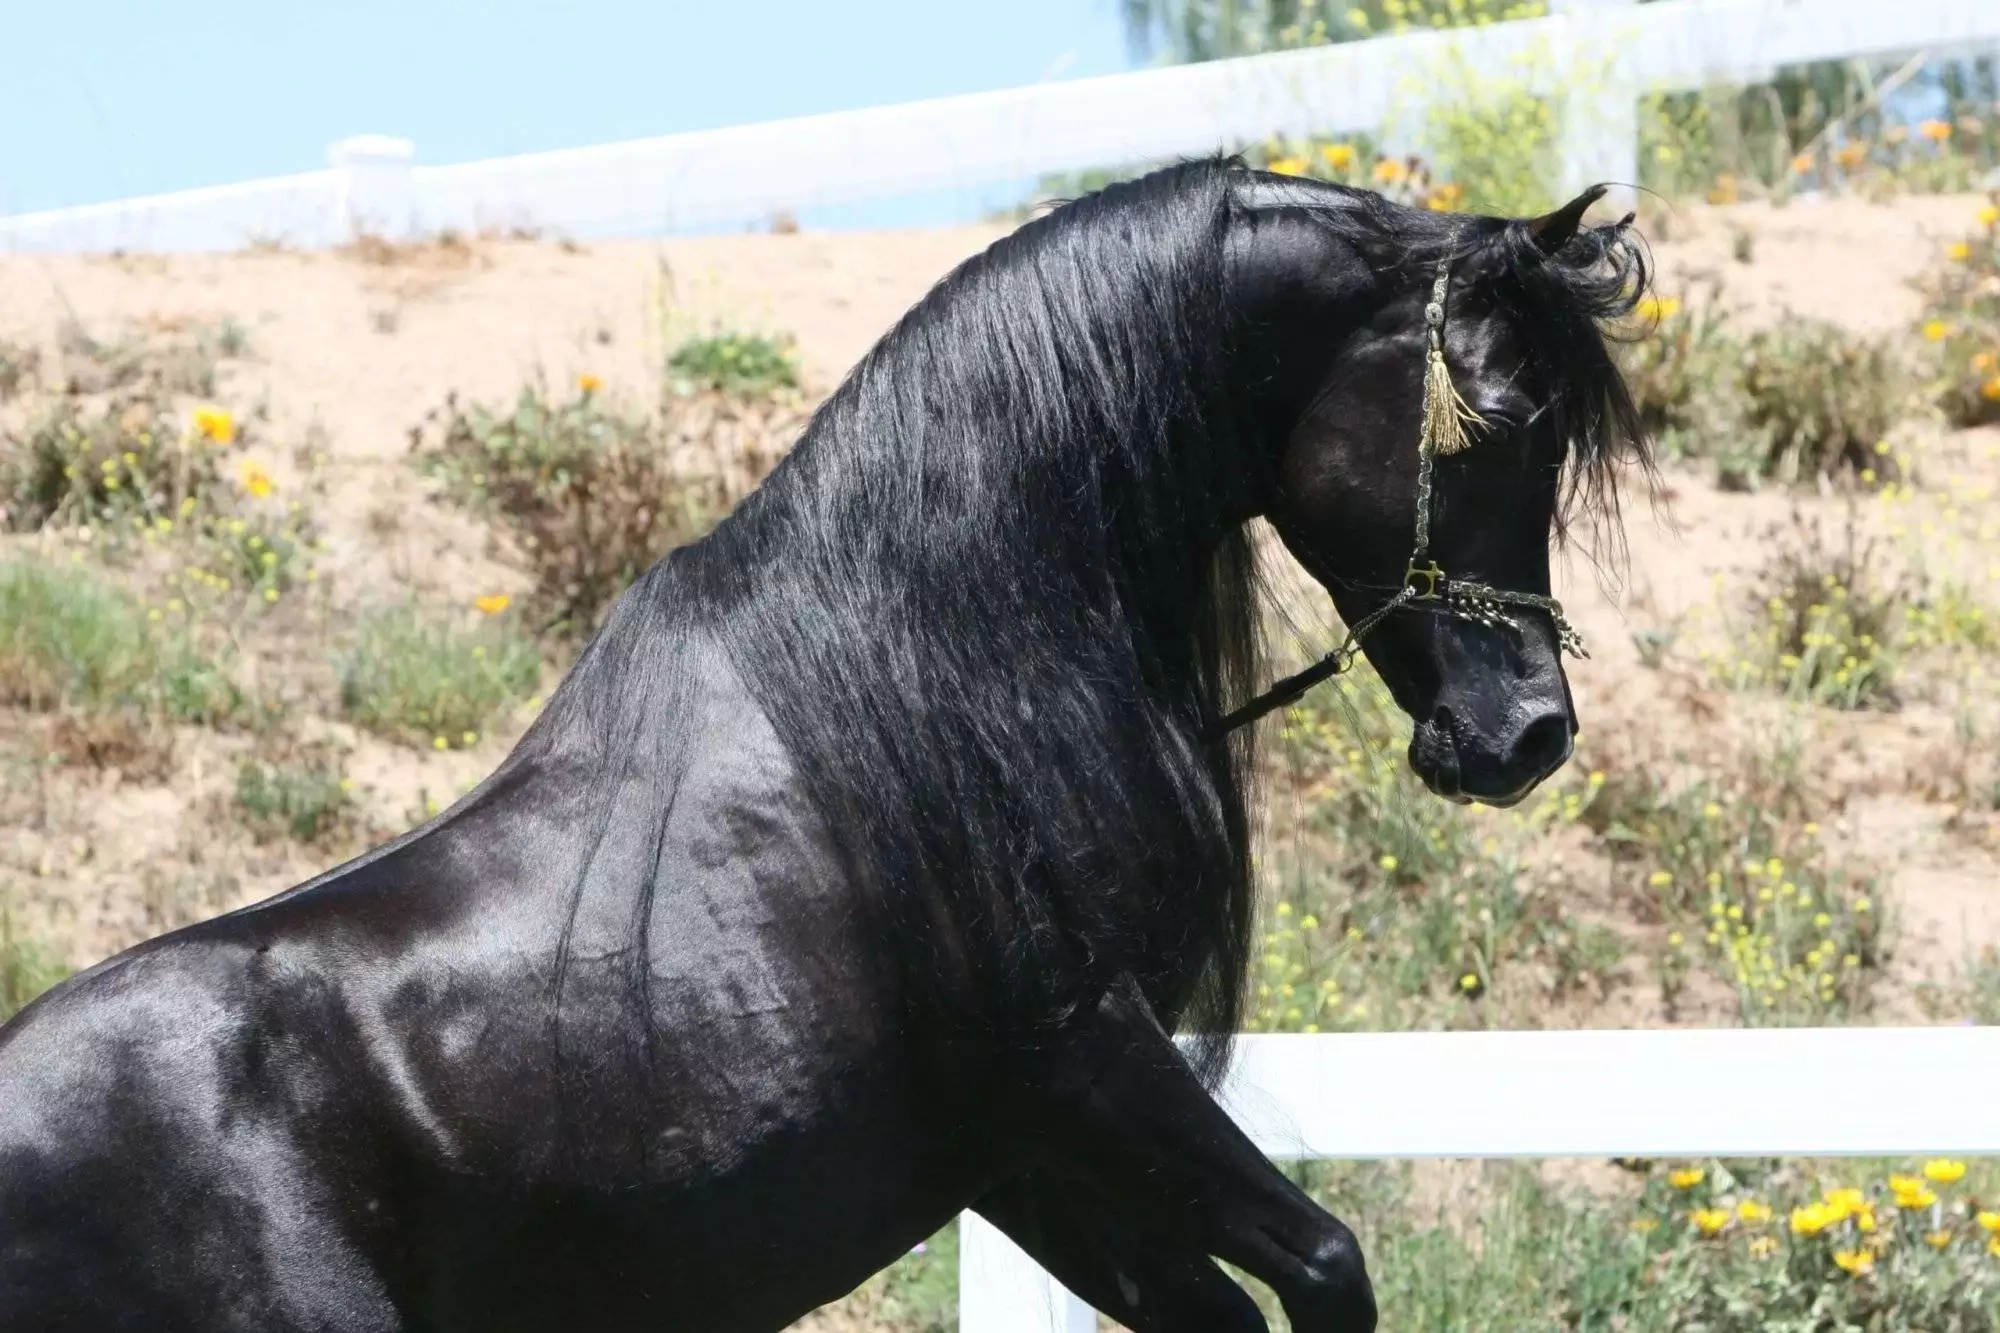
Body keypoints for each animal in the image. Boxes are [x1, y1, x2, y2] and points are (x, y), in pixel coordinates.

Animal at [0, 158, 1647, 1332]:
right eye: (1495, 415)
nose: (1524, 735)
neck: (936, 694)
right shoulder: (1092, 1065)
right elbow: (1323, 1266)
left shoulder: (1022, 1153)